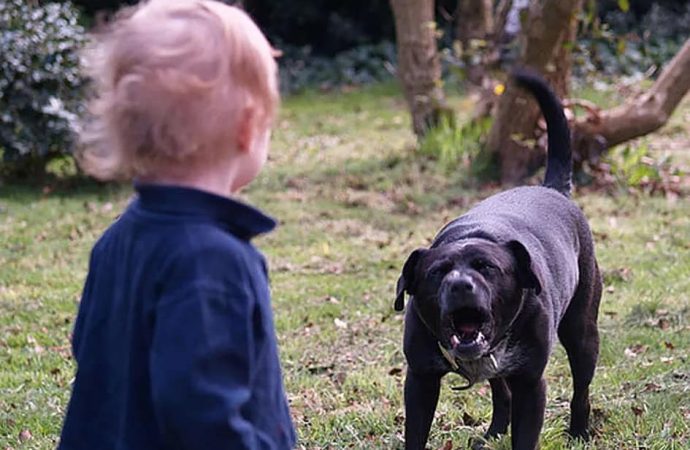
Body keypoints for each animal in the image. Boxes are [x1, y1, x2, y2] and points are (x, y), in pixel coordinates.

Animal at [396, 70, 600, 450]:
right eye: (437, 272)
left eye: (487, 267)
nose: (460, 285)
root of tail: (551, 189)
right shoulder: (420, 380)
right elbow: (415, 433)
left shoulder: (531, 384)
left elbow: (526, 433)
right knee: (499, 392)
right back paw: (494, 432)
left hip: (582, 332)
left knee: (581, 390)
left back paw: (579, 432)